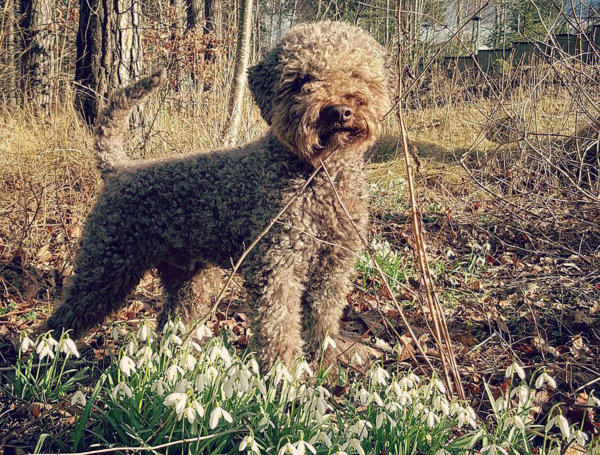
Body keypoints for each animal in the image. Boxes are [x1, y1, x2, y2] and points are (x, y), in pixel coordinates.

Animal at [47, 21, 394, 370]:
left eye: (356, 74)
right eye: (301, 80)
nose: (339, 111)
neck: (319, 177)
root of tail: (119, 169)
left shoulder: (332, 272)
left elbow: (322, 329)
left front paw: (326, 373)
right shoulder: (275, 269)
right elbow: (279, 333)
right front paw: (284, 379)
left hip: (187, 281)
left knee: (169, 325)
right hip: (107, 267)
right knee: (61, 320)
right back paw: (45, 361)